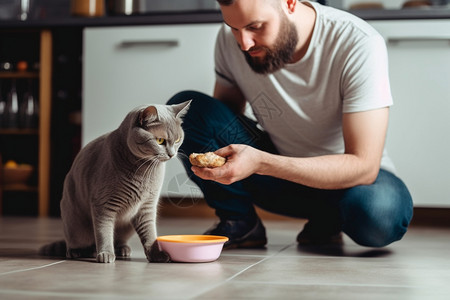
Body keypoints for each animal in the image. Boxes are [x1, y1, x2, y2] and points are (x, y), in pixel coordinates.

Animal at [39, 101, 192, 262]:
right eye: (160, 141)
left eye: (177, 140)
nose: (172, 154)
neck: (144, 171)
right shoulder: (103, 205)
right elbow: (103, 231)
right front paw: (105, 254)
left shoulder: (147, 207)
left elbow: (150, 233)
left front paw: (157, 254)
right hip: (75, 225)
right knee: (77, 242)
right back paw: (78, 252)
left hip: (127, 227)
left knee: (119, 239)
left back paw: (122, 250)